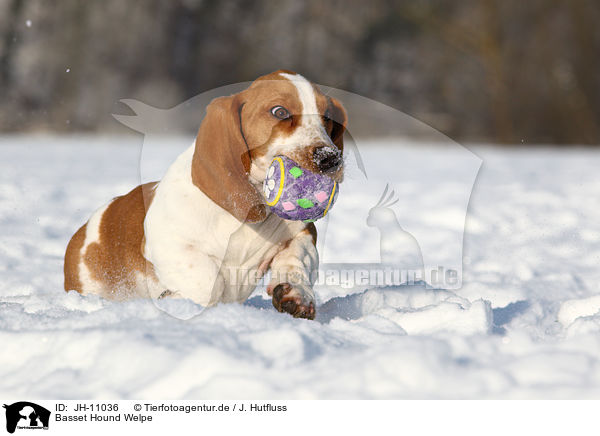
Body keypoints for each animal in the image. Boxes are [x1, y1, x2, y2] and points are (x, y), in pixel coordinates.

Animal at [63, 69, 346, 320]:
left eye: (327, 118)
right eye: (280, 112)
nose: (330, 158)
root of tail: (84, 231)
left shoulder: (302, 233)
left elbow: (298, 259)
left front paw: (296, 294)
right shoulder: (169, 245)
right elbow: (209, 281)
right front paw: (176, 299)